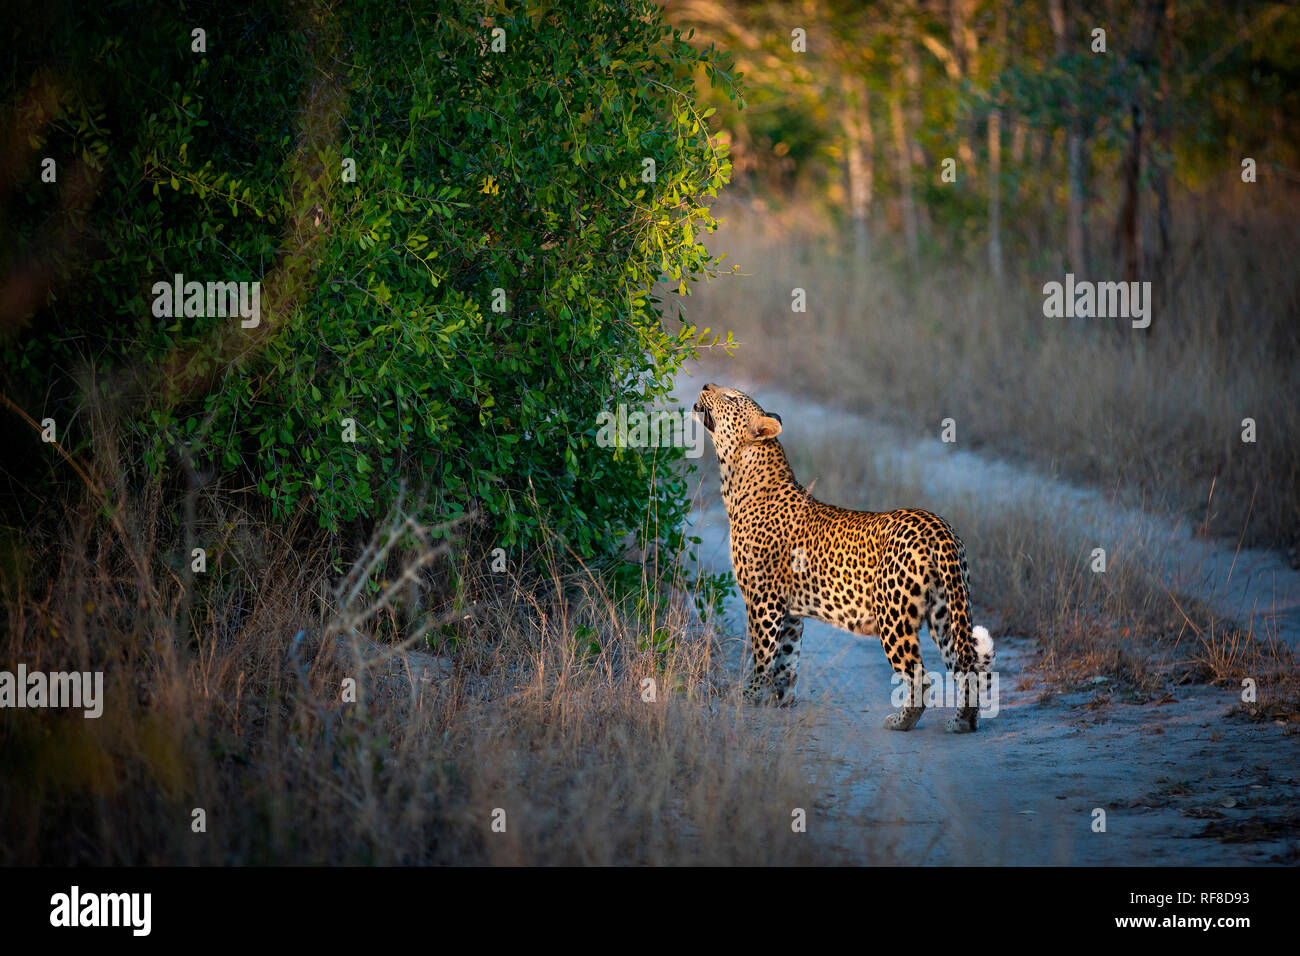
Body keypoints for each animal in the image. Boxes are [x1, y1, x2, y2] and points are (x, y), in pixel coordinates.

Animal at [696, 382, 987, 733]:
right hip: (947, 613)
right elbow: (786, 659)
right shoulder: (791, 613)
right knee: (965, 668)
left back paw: (900, 722)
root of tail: (938, 527)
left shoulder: (763, 600)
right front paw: (781, 700)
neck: (736, 477)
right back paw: (962, 722)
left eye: (732, 398)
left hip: (894, 617)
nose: (706, 385)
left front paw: (749, 696)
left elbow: (762, 654)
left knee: (920, 677)